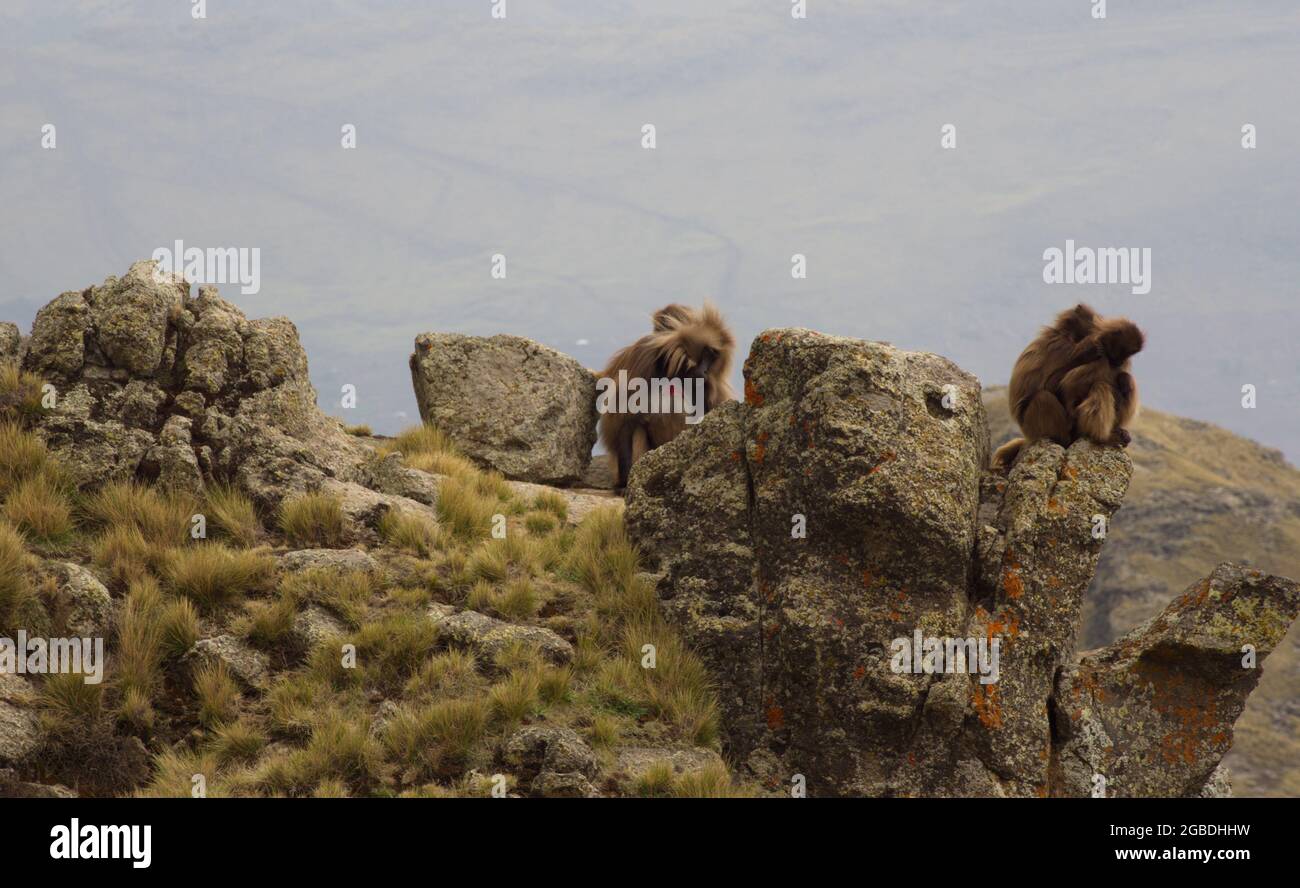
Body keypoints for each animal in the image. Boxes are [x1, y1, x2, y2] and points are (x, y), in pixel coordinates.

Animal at [595, 301, 733, 488]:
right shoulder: (644, 355)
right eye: (707, 353)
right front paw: (624, 484)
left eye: (713, 356)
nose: (705, 371)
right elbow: (623, 418)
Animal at [987, 304, 1144, 475]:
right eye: (1122, 351)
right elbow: (1055, 384)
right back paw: (1086, 438)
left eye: (1127, 354)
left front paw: (1122, 381)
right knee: (1045, 397)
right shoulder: (1066, 347)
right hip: (1032, 427)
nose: (1119, 361)